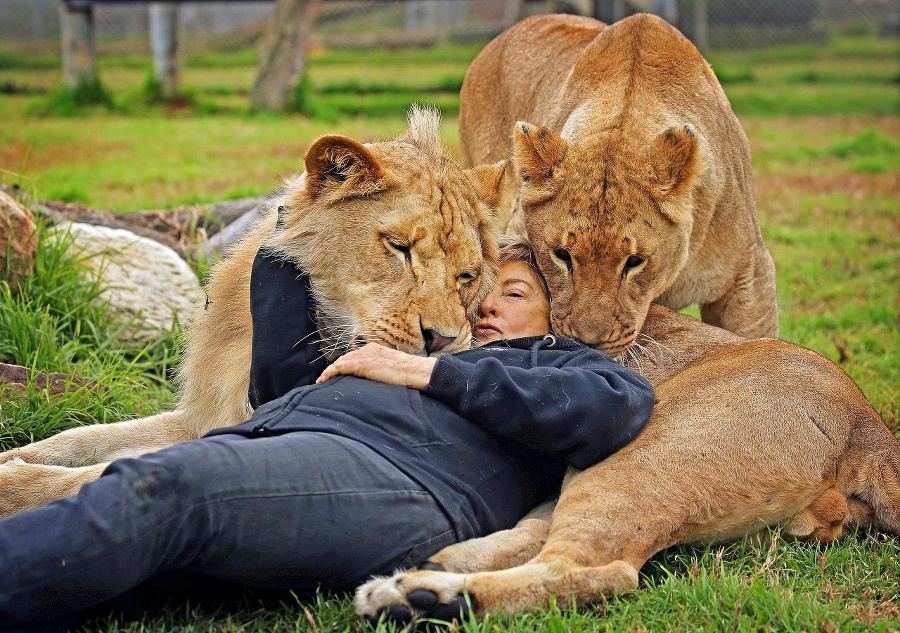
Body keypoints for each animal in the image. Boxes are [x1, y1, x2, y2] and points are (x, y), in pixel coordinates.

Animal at [0, 105, 506, 520]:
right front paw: (14, 454)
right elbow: (88, 437)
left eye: (466, 276)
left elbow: (93, 473)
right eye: (399, 248)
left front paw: (12, 483)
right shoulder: (205, 411)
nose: (442, 339)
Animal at [352, 300, 900, 616]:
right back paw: (426, 574)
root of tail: (867, 428)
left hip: (636, 459)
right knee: (543, 540)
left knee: (590, 568)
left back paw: (417, 599)